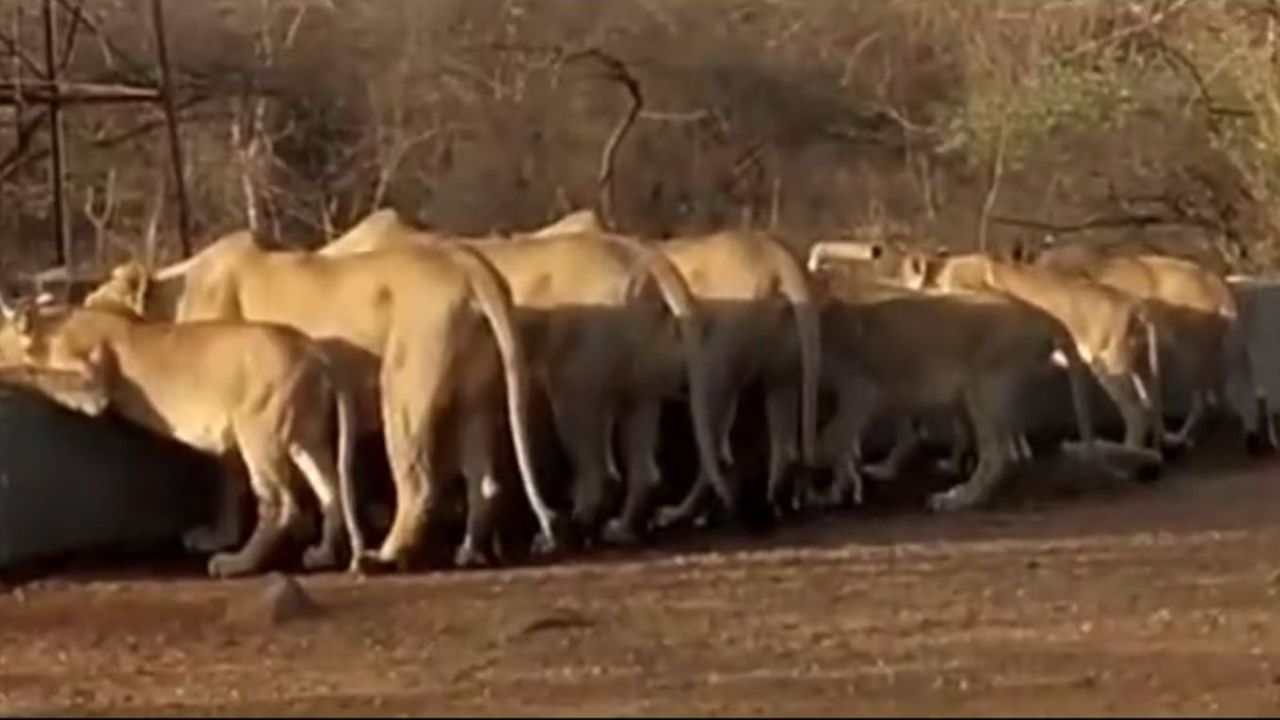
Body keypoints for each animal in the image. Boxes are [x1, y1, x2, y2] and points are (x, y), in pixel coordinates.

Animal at [0, 292, 358, 576]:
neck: (51, 328)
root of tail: (313, 351)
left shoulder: (93, 387)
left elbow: (34, 371)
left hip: (258, 433)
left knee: (279, 502)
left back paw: (236, 563)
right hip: (305, 438)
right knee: (330, 489)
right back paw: (322, 554)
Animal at [82, 235, 558, 571]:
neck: (169, 297)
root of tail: (472, 267)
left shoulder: (231, 388)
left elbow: (230, 473)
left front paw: (219, 539)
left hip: (404, 383)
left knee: (419, 481)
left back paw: (385, 555)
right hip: (475, 396)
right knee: (484, 480)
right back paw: (469, 550)